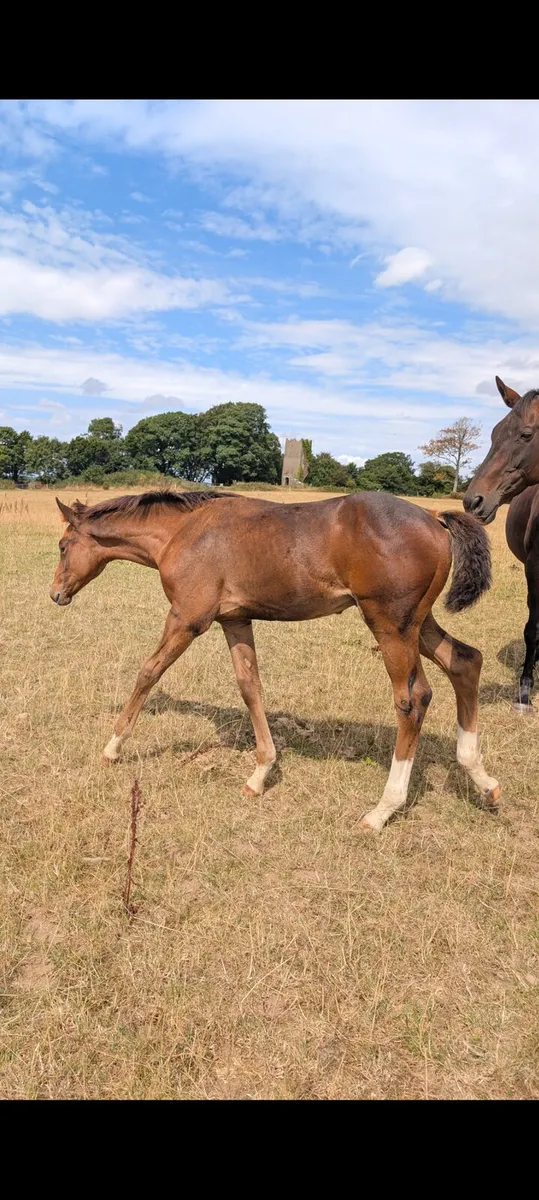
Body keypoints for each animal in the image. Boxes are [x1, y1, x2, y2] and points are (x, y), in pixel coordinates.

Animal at [50, 489, 500, 832]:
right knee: (465, 661)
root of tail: (434, 519)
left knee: (413, 700)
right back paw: (482, 779)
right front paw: (260, 773)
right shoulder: (235, 620)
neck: (185, 531)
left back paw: (382, 809)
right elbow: (250, 687)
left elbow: (149, 671)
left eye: (62, 546)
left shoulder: (188, 618)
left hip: (390, 625)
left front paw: (112, 747)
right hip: (418, 624)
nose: (56, 594)